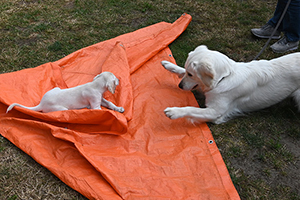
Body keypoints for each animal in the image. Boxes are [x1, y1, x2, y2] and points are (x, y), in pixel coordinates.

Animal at [162, 45, 300, 123]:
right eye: (188, 72)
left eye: (191, 74)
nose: (180, 86)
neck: (224, 78)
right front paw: (169, 65)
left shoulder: (216, 112)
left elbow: (191, 108)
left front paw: (174, 112)